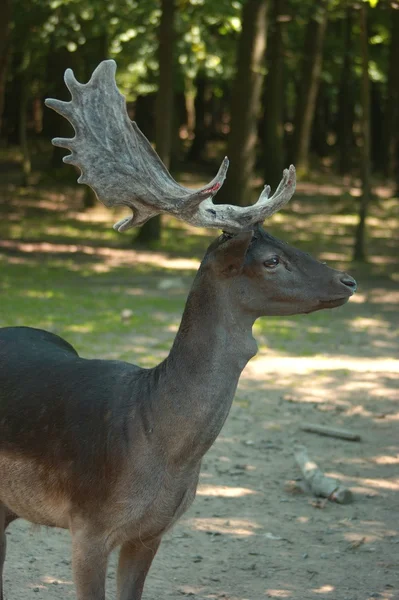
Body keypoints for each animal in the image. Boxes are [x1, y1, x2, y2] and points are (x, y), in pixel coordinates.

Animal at [0, 57, 358, 600]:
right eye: (270, 260)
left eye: (287, 242)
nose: (349, 279)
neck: (158, 445)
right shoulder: (87, 527)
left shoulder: (152, 532)